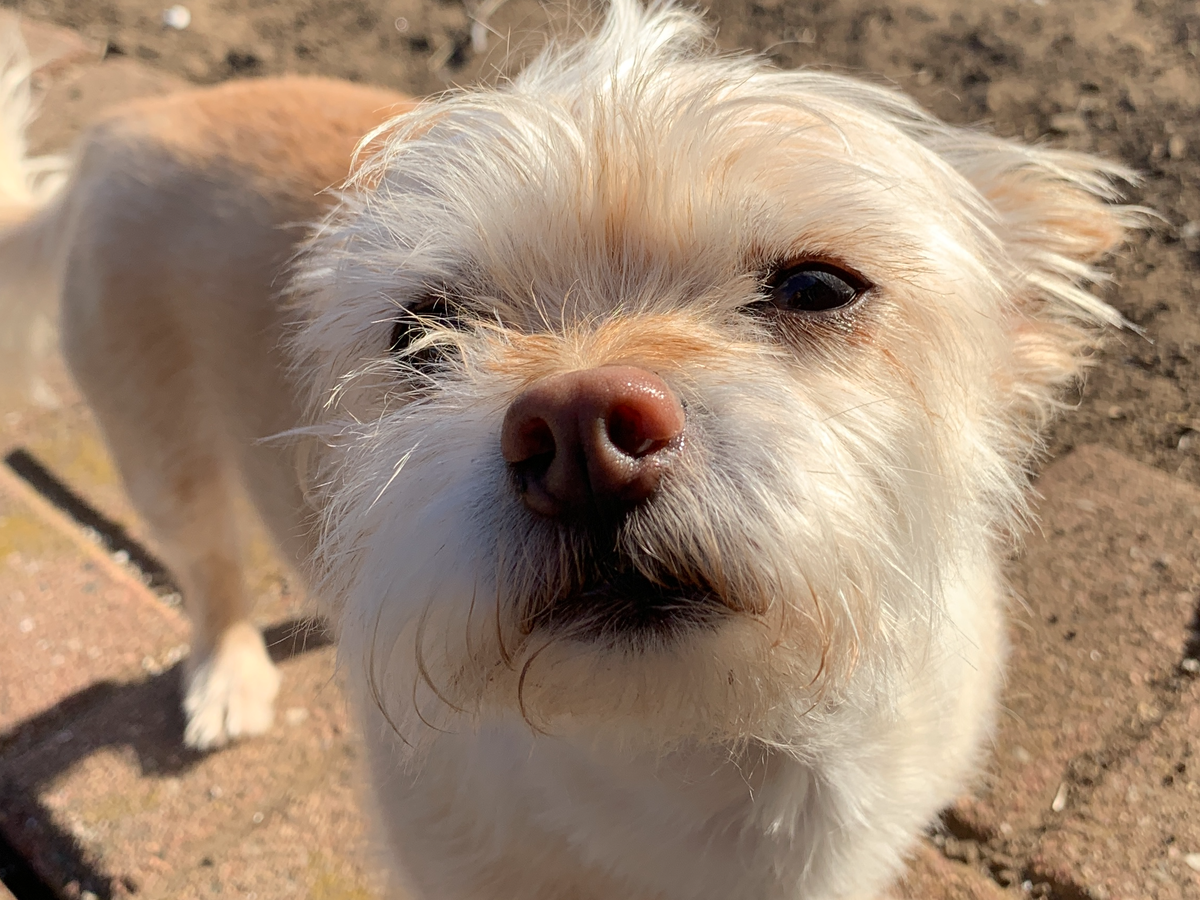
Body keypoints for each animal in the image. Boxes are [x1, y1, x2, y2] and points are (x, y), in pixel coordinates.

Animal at [0, 2, 1138, 898]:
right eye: (420, 333)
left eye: (820, 286)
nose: (577, 429)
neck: (698, 744)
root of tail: (124, 124)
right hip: (159, 450)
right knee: (209, 571)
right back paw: (228, 673)